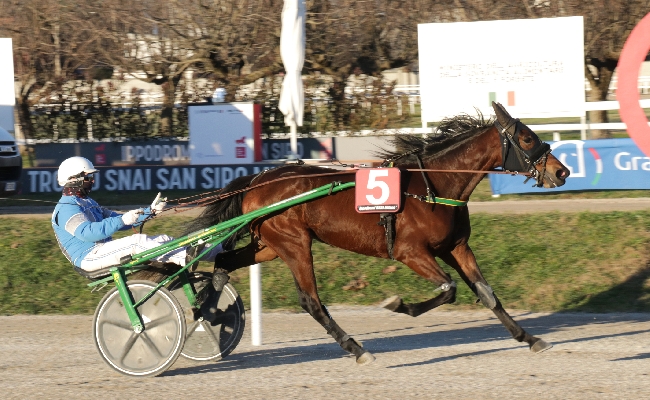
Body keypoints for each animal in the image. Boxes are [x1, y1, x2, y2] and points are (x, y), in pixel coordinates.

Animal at [191, 101, 568, 364]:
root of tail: (257, 180)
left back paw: (207, 310)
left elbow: (487, 295)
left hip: (269, 244)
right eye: (527, 138)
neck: (433, 185)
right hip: (294, 243)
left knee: (224, 261)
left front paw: (530, 338)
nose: (562, 171)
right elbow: (448, 289)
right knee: (311, 301)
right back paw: (357, 349)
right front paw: (398, 304)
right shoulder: (410, 252)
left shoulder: (457, 247)